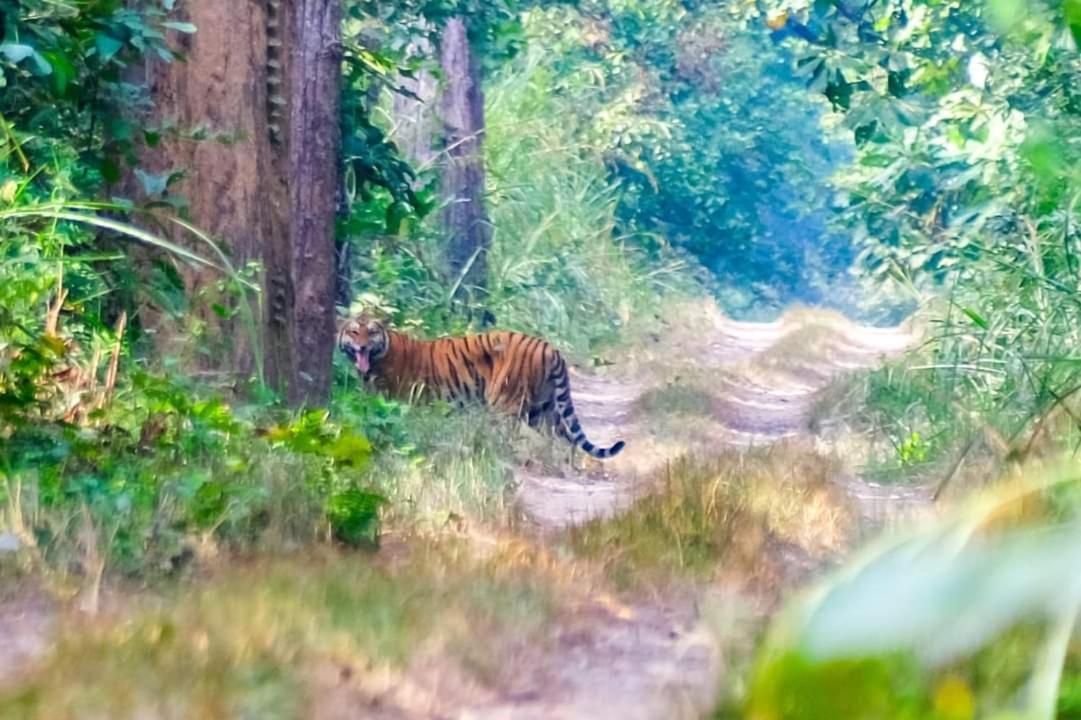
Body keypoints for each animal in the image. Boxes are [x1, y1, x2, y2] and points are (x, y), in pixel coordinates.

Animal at [337, 311, 626, 456]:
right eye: (354, 331)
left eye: (371, 332)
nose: (362, 346)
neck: (377, 357)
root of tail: (550, 348)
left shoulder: (399, 402)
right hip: (543, 410)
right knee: (566, 439)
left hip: (505, 404)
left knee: (508, 438)